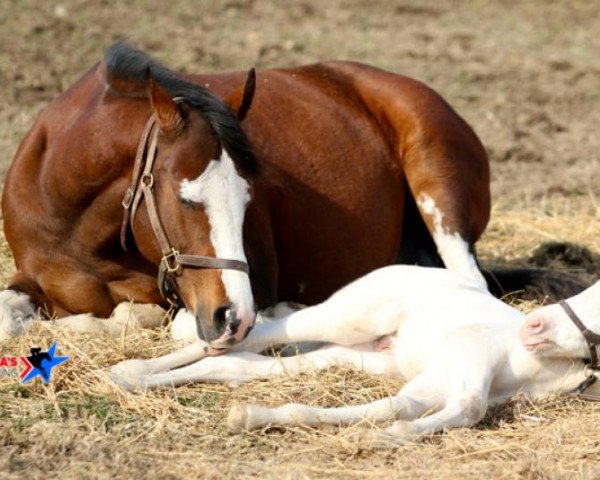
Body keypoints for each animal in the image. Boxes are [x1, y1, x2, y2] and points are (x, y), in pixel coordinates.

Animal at [0, 40, 528, 348]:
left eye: (247, 202)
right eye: (186, 199)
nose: (234, 317)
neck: (79, 227)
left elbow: (144, 317)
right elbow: (10, 319)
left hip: (436, 181)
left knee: (469, 281)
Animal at [109, 266, 600, 446]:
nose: (532, 326)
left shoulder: (438, 377)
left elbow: (397, 406)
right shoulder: (469, 353)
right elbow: (469, 406)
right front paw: (393, 437)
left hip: (362, 355)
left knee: (237, 363)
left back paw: (140, 380)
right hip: (347, 319)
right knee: (252, 334)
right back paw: (129, 370)